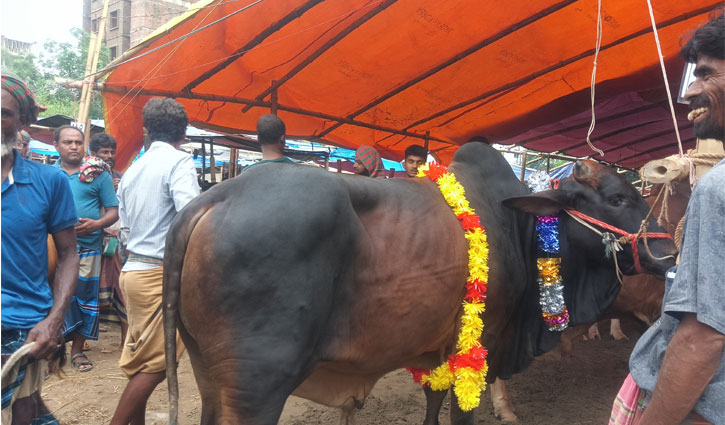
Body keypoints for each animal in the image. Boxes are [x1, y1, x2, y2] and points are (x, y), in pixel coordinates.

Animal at [163, 141, 672, 422]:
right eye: (618, 197)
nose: (669, 250)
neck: (521, 228)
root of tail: (210, 199)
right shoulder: (482, 340)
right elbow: (463, 409)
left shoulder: (439, 346)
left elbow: (433, 399)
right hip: (256, 385)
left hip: (209, 376)